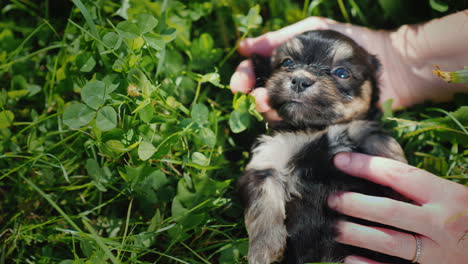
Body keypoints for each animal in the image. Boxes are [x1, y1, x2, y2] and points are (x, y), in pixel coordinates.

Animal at [238, 29, 410, 262]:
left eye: (342, 73)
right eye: (287, 62)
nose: (300, 80)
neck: (315, 128)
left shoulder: (366, 131)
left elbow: (387, 148)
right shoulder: (266, 161)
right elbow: (262, 202)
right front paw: (264, 250)